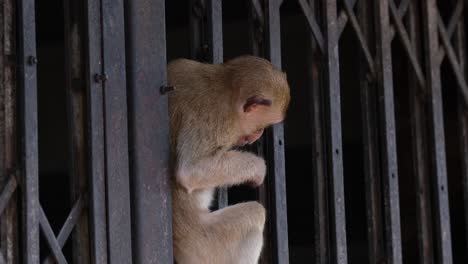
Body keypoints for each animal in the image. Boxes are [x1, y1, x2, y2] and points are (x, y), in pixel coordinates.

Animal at [168, 54, 290, 262]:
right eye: (260, 128)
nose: (257, 136)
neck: (226, 87)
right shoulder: (218, 118)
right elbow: (191, 171)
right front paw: (258, 169)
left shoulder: (180, 66)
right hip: (207, 247)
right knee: (255, 214)